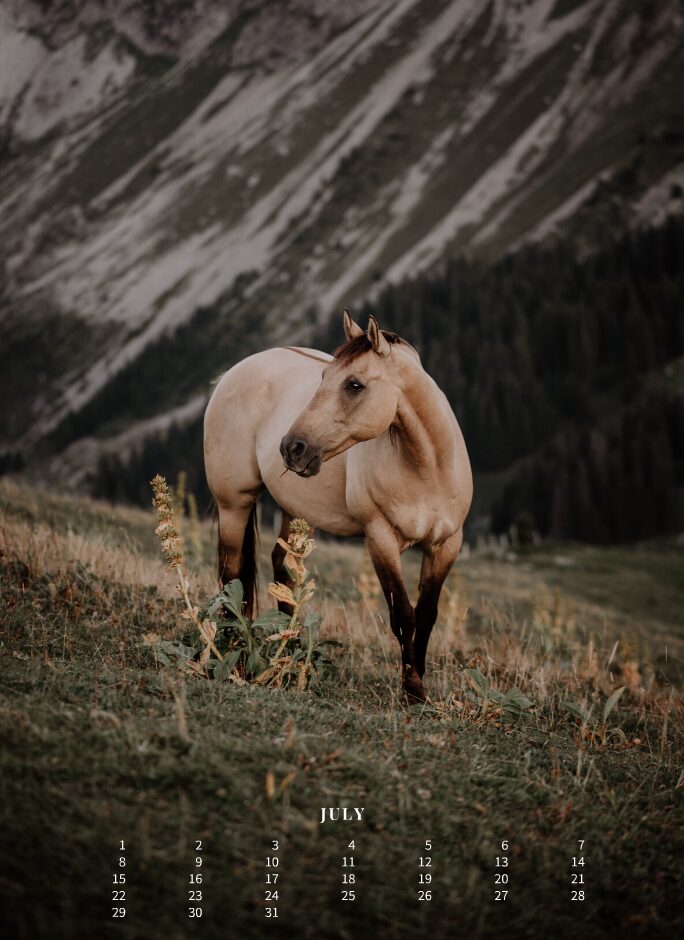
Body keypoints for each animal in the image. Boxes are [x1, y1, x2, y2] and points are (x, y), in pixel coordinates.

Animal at [203, 310, 472, 702]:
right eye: (323, 377)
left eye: (354, 385)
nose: (292, 448)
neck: (428, 469)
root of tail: (231, 374)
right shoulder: (381, 539)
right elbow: (403, 615)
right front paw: (412, 690)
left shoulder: (445, 545)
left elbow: (425, 616)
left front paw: (419, 684)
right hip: (234, 503)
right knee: (232, 572)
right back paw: (234, 651)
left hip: (297, 510)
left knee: (282, 567)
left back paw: (291, 650)